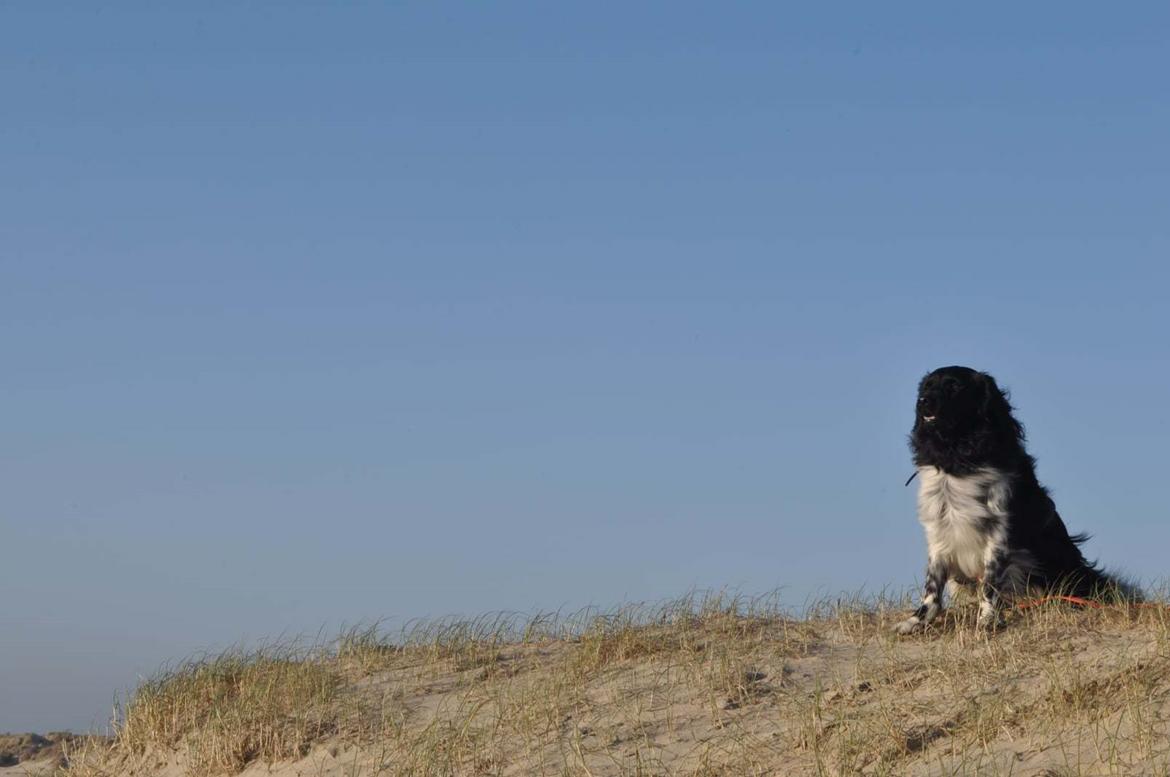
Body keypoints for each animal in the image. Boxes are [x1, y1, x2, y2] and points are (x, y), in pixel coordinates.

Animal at [889, 365, 1127, 631]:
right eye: (927, 386)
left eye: (954, 386)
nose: (923, 401)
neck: (958, 458)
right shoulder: (939, 530)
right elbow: (932, 585)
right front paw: (917, 620)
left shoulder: (1000, 531)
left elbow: (990, 582)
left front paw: (987, 619)